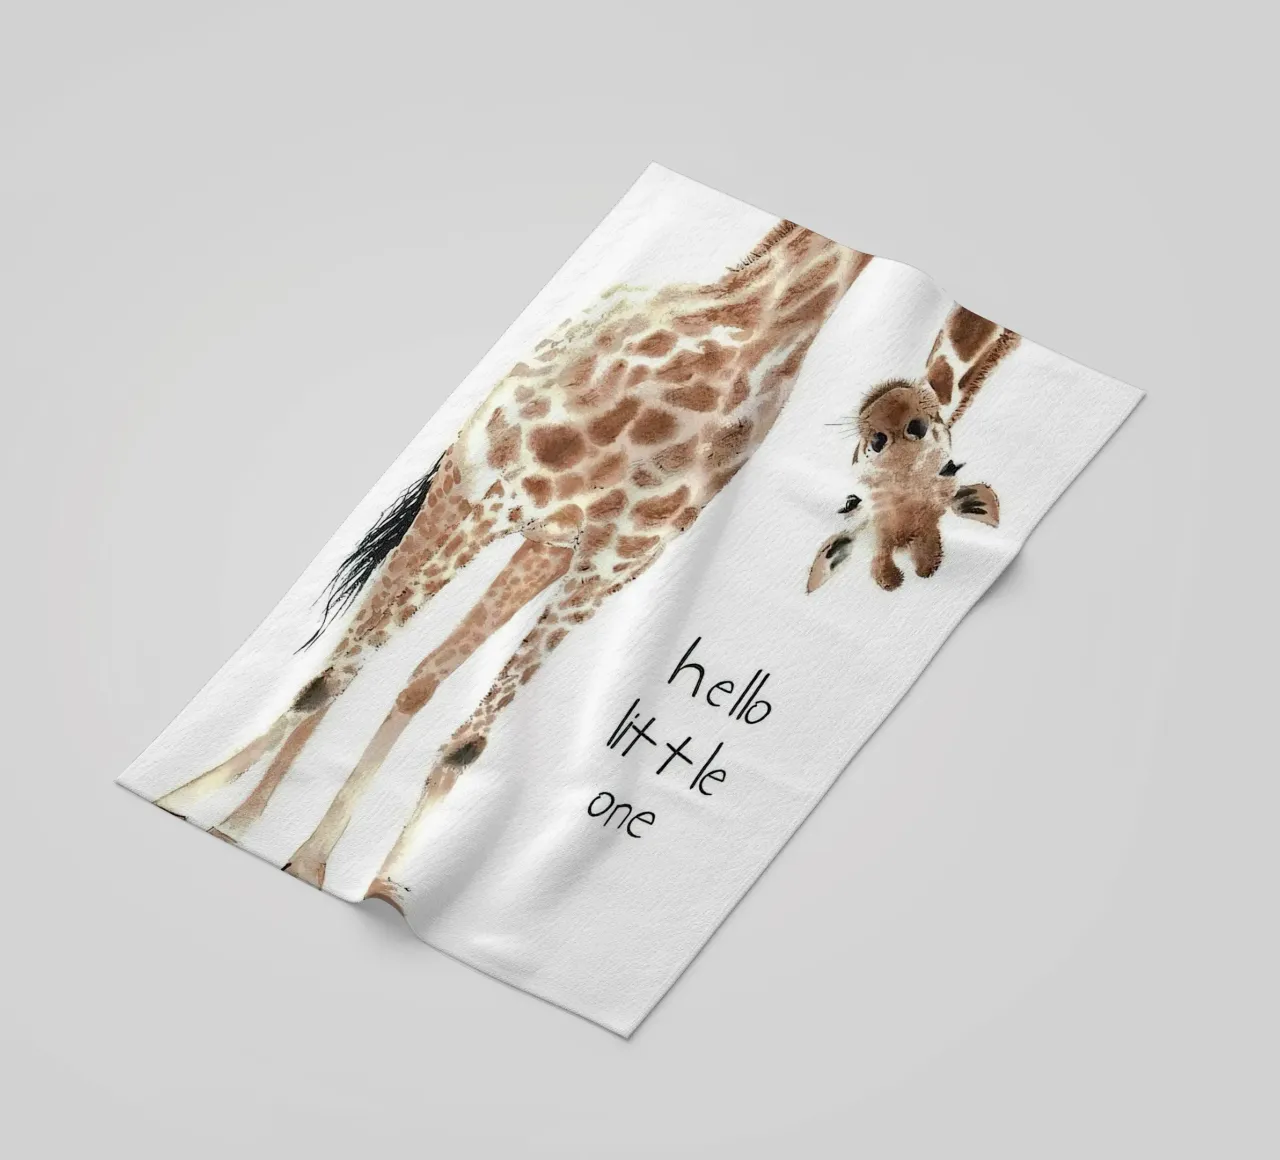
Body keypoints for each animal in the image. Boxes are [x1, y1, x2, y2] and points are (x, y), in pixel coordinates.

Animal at [152, 220, 873, 908]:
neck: (755, 328)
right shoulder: (506, 497)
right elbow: (339, 672)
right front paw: (197, 805)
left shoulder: (605, 567)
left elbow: (466, 743)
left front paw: (366, 879)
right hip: (461, 485)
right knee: (353, 645)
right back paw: (232, 811)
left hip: (538, 545)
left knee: (411, 668)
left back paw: (296, 845)